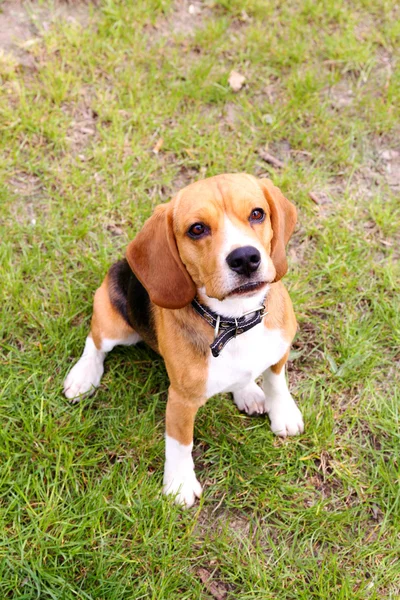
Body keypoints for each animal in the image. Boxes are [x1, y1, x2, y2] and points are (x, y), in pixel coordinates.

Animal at [64, 172, 304, 506]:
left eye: (257, 213)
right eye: (197, 229)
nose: (245, 258)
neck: (234, 321)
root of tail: (121, 263)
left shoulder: (279, 350)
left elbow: (276, 382)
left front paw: (283, 413)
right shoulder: (180, 399)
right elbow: (180, 443)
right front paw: (179, 484)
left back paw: (248, 391)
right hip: (115, 325)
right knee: (95, 343)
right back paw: (83, 376)